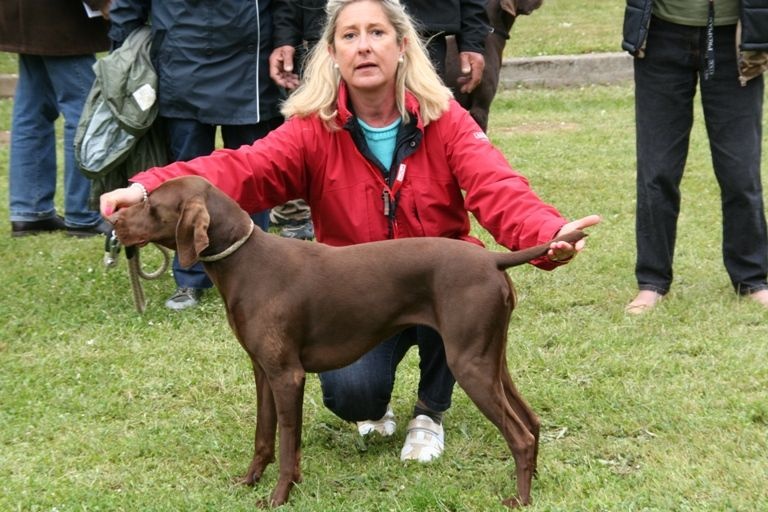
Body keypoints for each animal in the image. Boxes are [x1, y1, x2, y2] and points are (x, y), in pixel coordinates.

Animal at [108, 176, 584, 508]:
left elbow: (287, 444)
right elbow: (263, 437)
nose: (113, 222)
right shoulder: (263, 371)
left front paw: (278, 496)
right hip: (490, 359)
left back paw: (519, 500)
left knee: (519, 435)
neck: (245, 262)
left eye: (151, 204)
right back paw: (535, 482)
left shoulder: (287, 376)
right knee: (532, 422)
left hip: (469, 363)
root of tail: (493, 259)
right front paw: (248, 482)